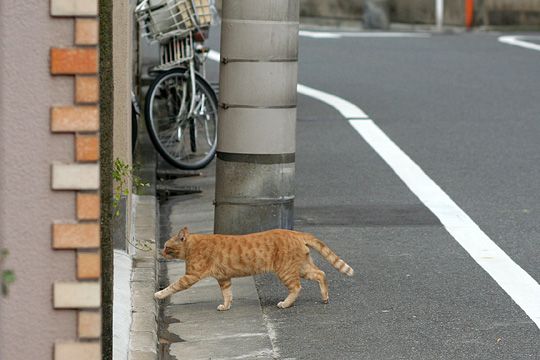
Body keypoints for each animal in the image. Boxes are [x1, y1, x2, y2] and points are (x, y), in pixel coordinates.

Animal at [155, 226, 354, 308]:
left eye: (166, 246)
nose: (160, 252)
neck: (192, 245)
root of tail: (296, 232)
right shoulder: (224, 278)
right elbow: (227, 294)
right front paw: (226, 306)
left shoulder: (191, 276)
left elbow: (172, 286)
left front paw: (158, 294)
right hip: (302, 267)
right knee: (321, 274)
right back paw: (325, 297)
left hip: (286, 271)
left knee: (297, 287)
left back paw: (285, 304)